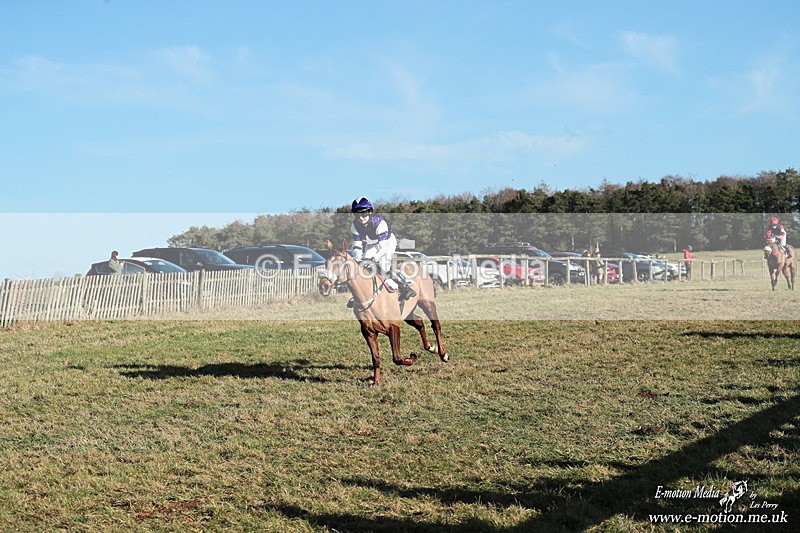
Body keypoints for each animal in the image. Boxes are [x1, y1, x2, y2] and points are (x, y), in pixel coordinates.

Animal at [319, 240, 447, 386]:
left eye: (339, 263)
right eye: (326, 263)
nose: (323, 285)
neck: (368, 296)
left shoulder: (393, 327)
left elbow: (397, 358)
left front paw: (412, 358)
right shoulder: (369, 332)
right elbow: (375, 358)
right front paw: (376, 382)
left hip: (427, 303)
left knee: (436, 326)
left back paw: (443, 354)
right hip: (408, 313)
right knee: (420, 322)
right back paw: (431, 347)